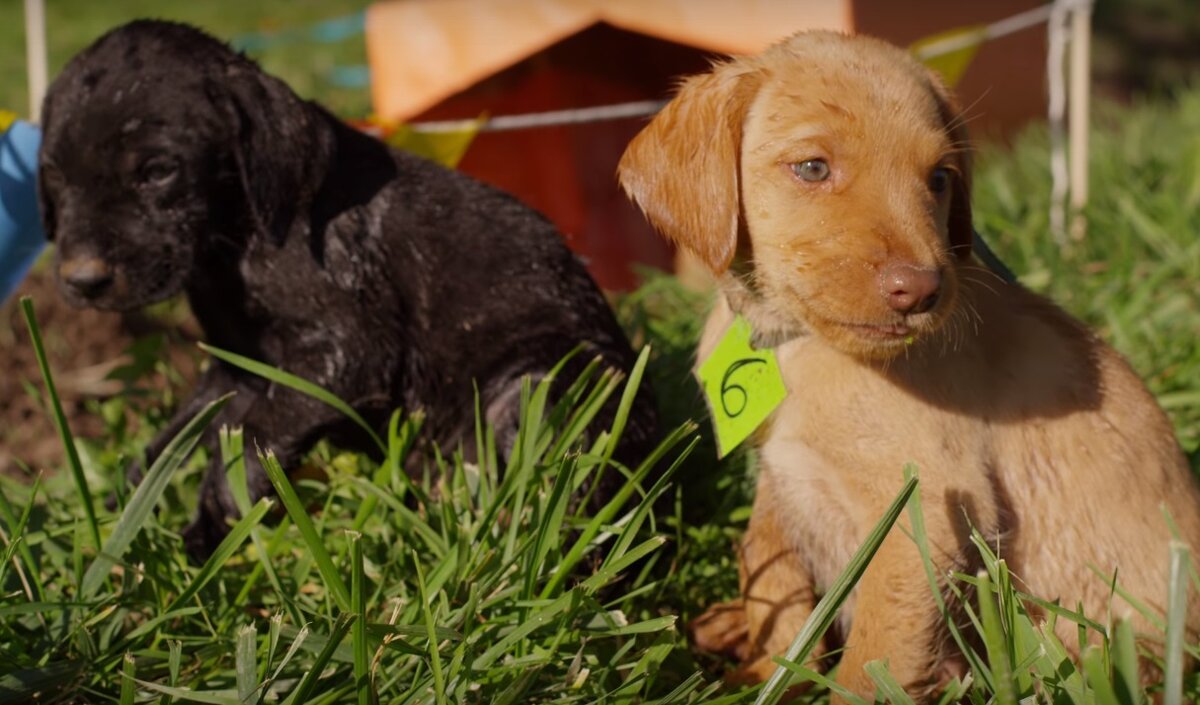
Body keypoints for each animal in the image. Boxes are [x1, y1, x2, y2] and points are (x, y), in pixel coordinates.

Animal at [39, 20, 657, 560]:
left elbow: (261, 429)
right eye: (53, 178)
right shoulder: (237, 364)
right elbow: (180, 434)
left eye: (158, 171)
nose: (82, 281)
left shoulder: (352, 350)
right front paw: (124, 510)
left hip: (546, 385)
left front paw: (219, 507)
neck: (235, 239)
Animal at [619, 30, 1200, 702]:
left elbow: (869, 663)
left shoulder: (919, 518)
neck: (794, 341)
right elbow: (771, 577)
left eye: (940, 178)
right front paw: (764, 674)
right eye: (813, 168)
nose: (920, 291)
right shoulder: (780, 481)